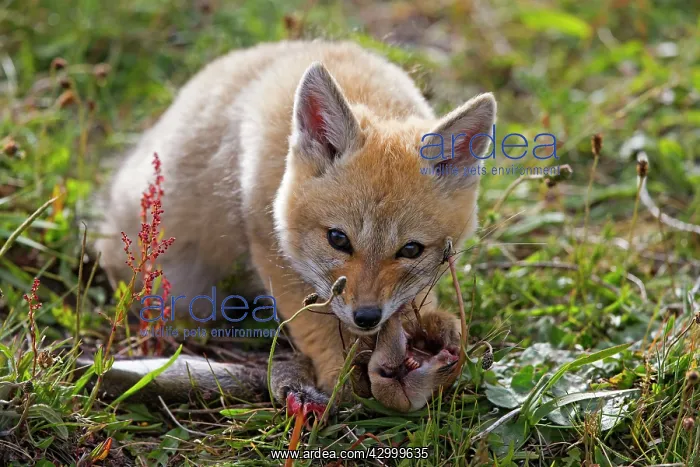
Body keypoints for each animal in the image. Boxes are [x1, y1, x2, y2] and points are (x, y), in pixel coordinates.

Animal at [95, 40, 496, 411]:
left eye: (411, 249)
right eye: (338, 239)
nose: (367, 317)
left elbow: (416, 297)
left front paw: (426, 328)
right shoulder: (270, 247)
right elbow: (318, 327)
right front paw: (346, 381)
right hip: (182, 291)